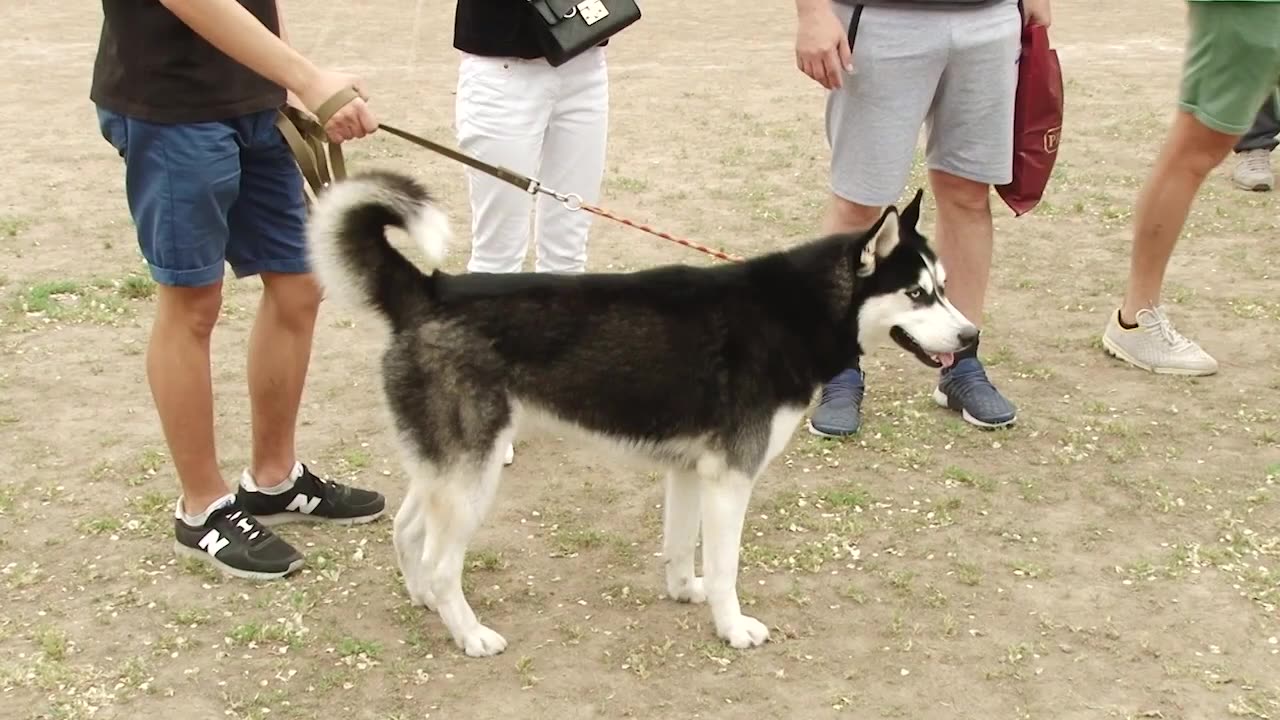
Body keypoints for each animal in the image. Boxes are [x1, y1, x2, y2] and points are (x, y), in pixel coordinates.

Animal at [304, 169, 972, 655]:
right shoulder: (731, 479)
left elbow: (680, 548)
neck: (794, 310)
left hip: (447, 469)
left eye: (943, 285)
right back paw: (469, 634)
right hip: (474, 478)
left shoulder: (690, 471)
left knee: (407, 530)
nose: (971, 338)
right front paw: (733, 627)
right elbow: (725, 568)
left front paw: (684, 593)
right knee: (442, 564)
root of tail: (429, 288)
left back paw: (424, 602)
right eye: (916, 294)